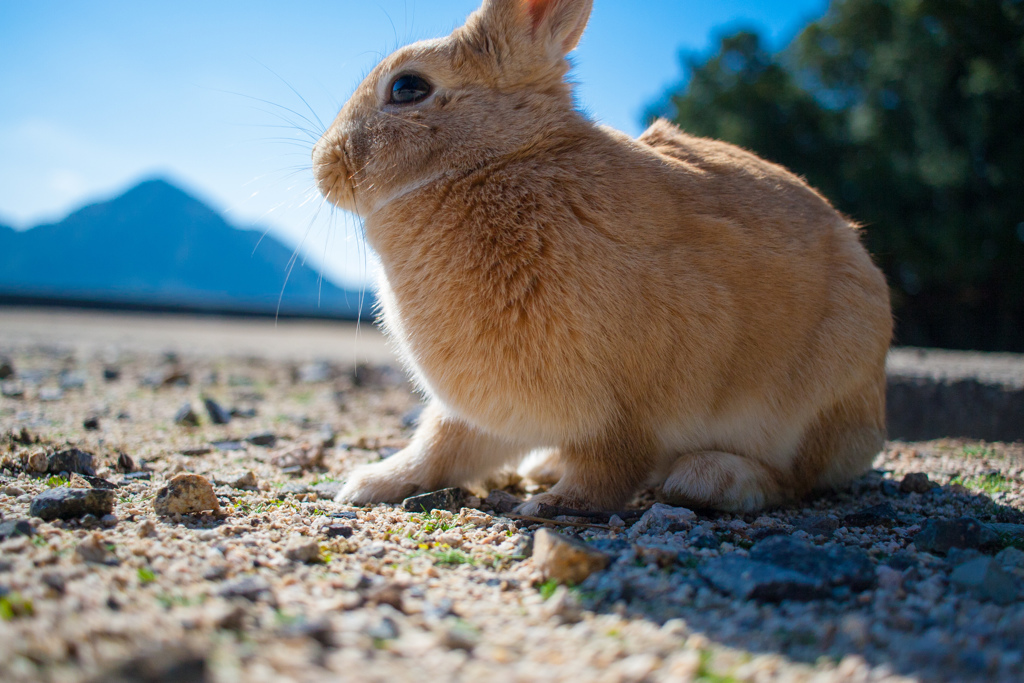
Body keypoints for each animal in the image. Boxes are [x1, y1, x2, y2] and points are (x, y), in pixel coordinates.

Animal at [309, 0, 888, 511]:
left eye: (408, 87)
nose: (322, 166)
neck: (492, 161)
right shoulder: (478, 410)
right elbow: (441, 445)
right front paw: (372, 483)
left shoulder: (622, 409)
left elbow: (609, 465)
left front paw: (556, 505)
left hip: (813, 399)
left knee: (795, 478)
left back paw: (711, 480)